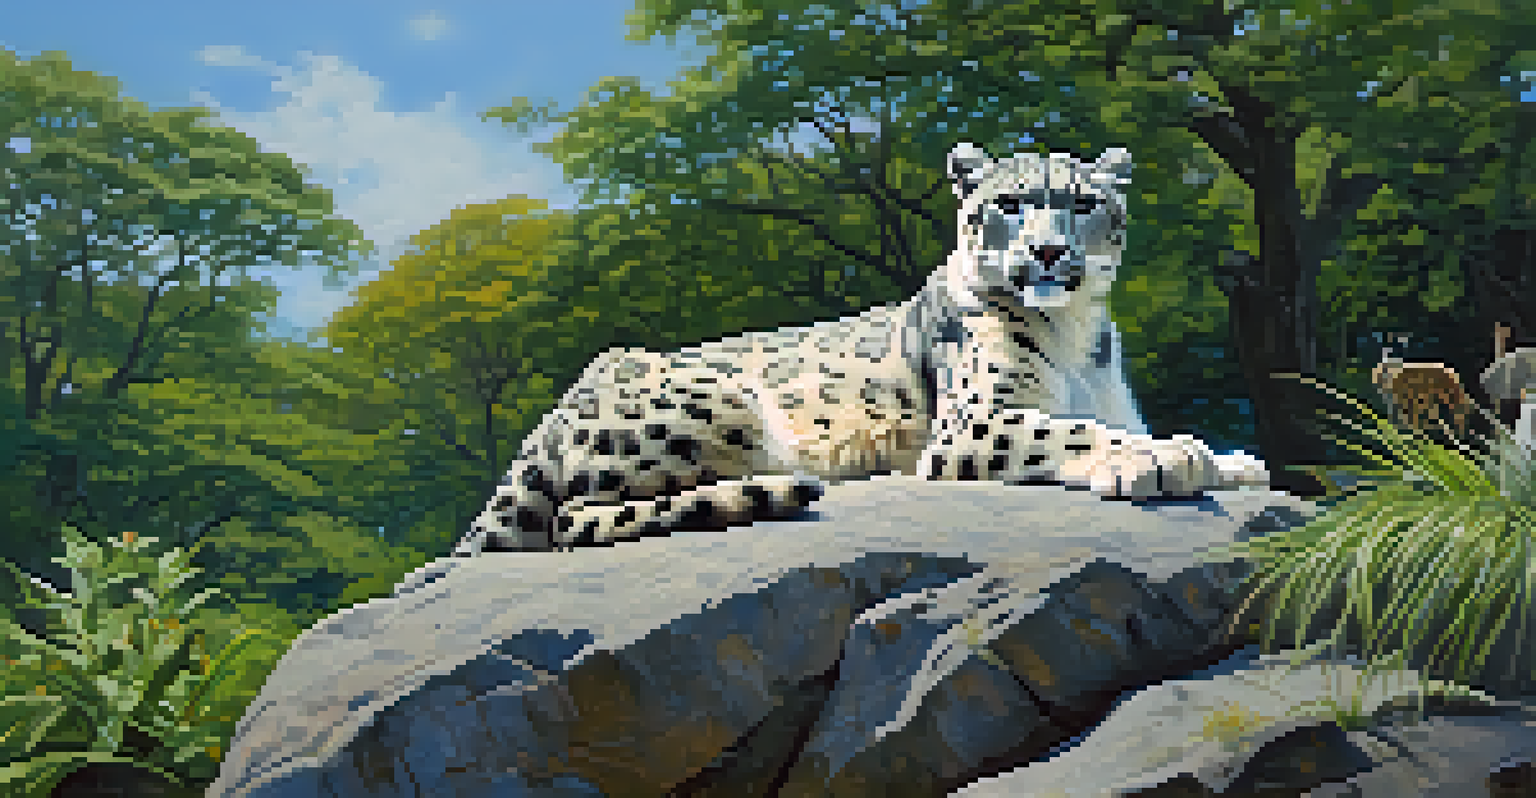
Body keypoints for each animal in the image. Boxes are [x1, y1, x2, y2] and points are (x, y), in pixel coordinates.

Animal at [453, 142, 1268, 555]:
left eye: (1084, 203)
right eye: (1008, 204)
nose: (1047, 252)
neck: (1073, 334)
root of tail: (555, 409)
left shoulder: (1115, 402)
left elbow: (1118, 422)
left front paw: (1226, 456)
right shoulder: (976, 420)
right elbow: (1069, 428)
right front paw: (1167, 459)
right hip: (712, 405)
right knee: (574, 520)